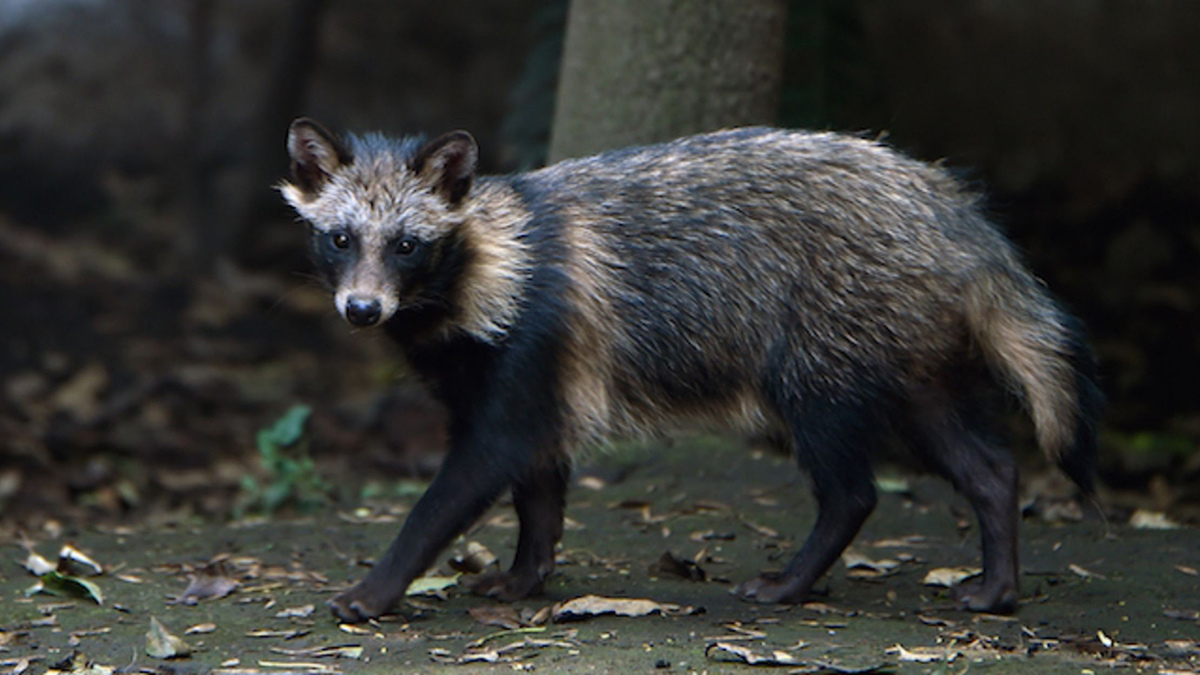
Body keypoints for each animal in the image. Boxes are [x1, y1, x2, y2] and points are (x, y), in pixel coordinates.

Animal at [278, 117, 1099, 619]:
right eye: (341, 238)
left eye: (407, 245)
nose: (362, 310)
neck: (483, 264)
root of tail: (945, 203)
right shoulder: (523, 381)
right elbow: (539, 491)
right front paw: (526, 572)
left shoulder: (529, 353)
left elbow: (453, 492)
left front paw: (379, 584)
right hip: (905, 359)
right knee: (988, 465)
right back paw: (998, 579)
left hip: (820, 353)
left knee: (853, 489)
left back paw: (797, 577)